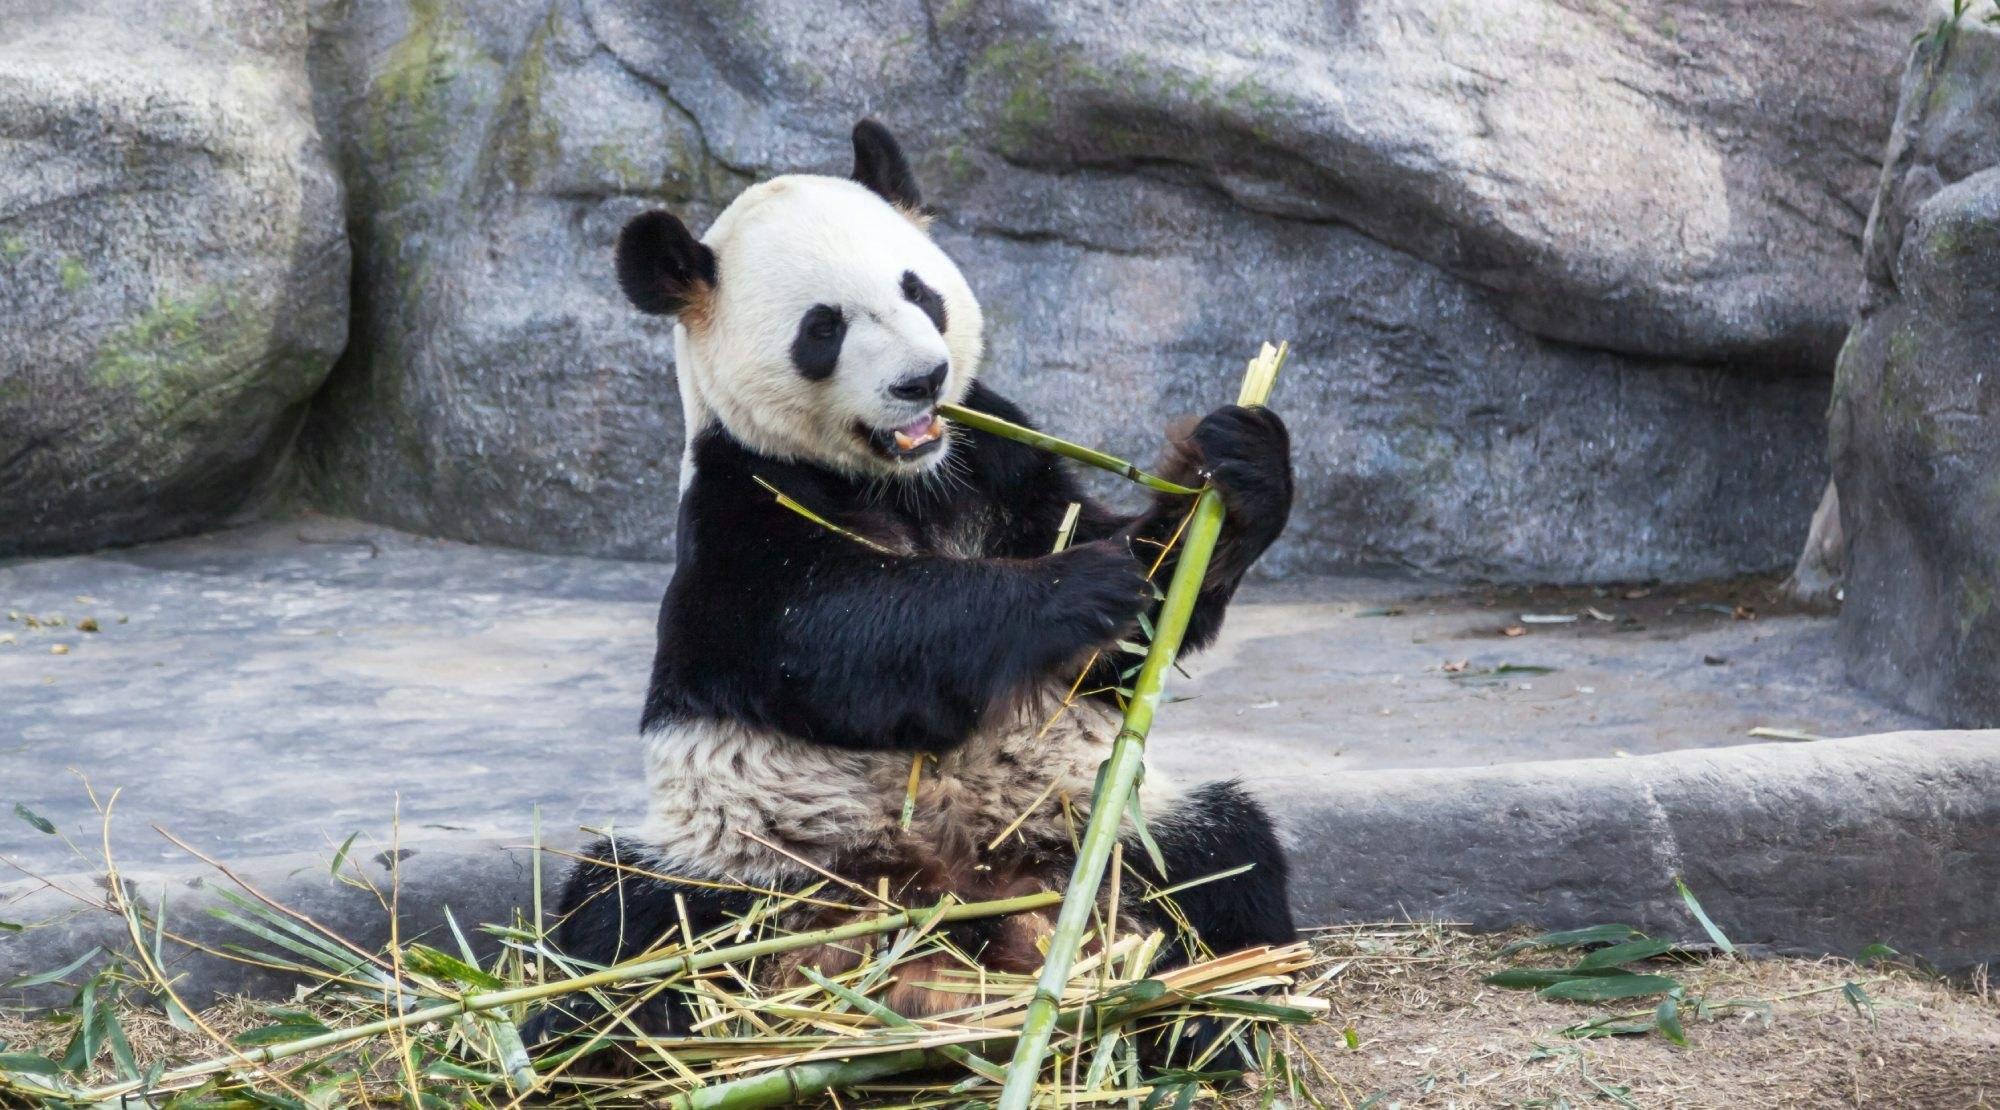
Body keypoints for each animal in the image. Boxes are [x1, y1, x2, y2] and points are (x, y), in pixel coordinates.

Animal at [534, 120, 1295, 1047]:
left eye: (919, 291)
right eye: (822, 328)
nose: (921, 381)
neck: (906, 480)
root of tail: (944, 919)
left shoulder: (997, 461)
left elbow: (1127, 624)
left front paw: (1235, 466)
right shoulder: (740, 503)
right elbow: (833, 637)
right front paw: (1079, 586)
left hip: (1094, 824)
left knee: (1223, 865)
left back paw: (1207, 1016)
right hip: (748, 862)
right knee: (625, 922)